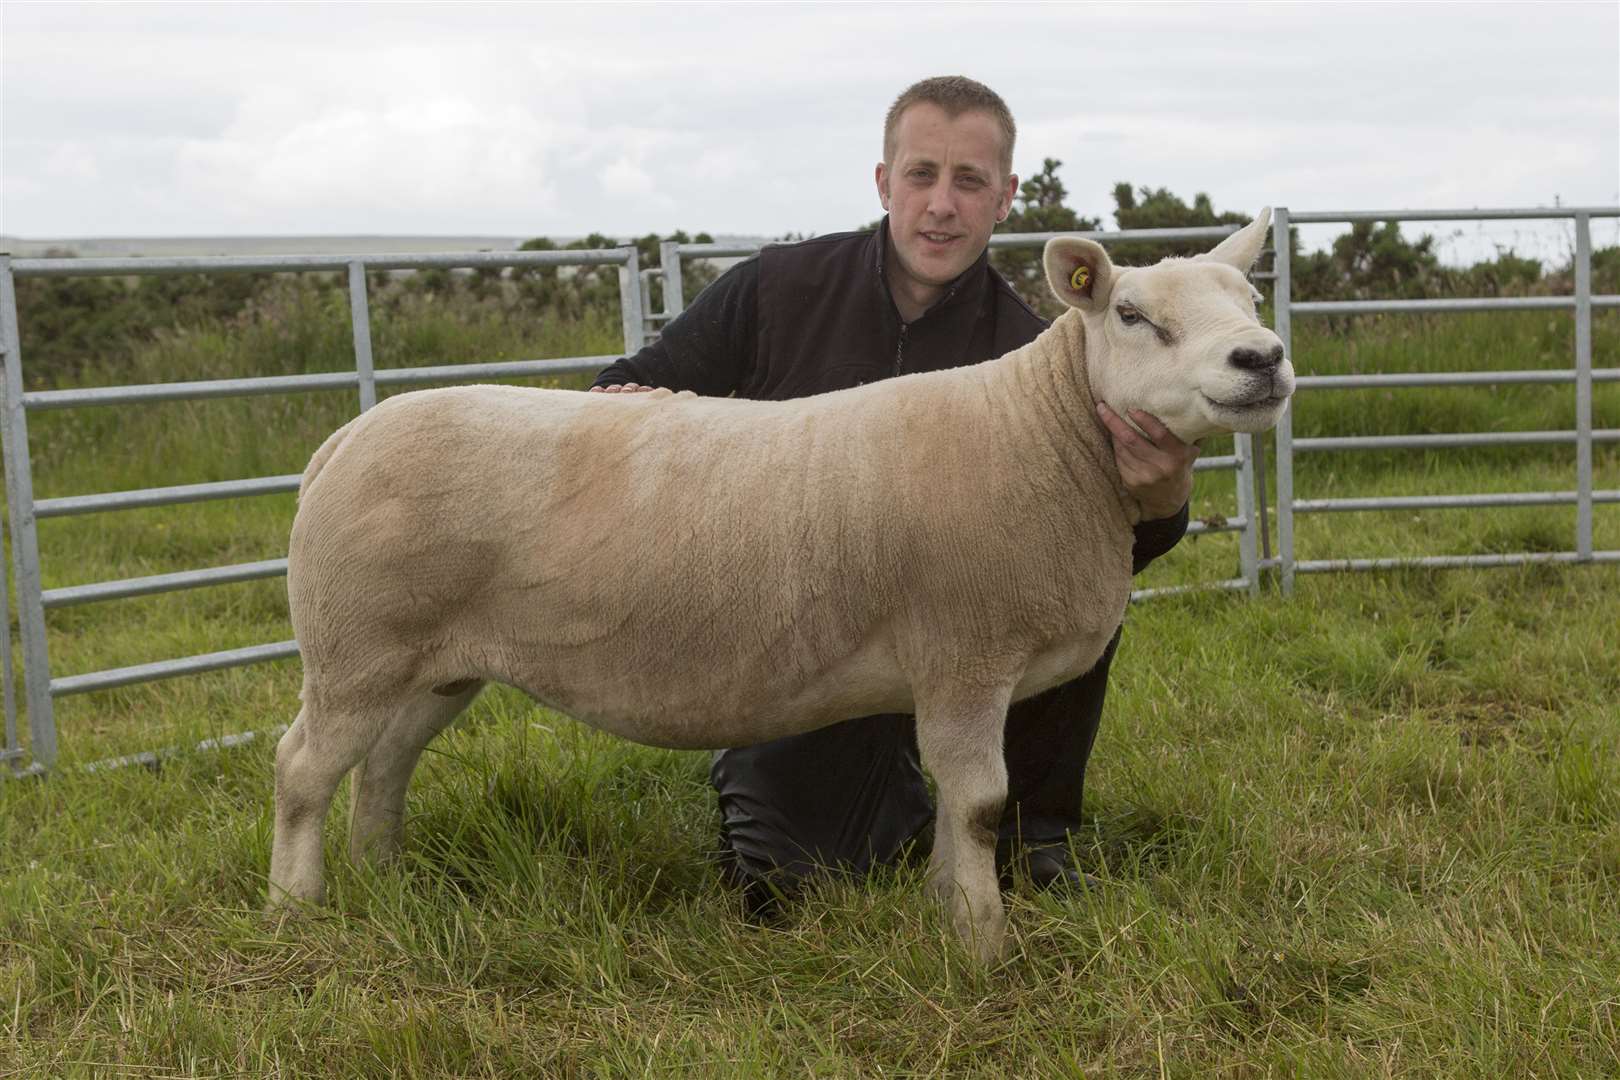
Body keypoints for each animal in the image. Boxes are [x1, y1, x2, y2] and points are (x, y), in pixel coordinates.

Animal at [272, 210, 1296, 965]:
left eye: (1251, 297)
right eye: (1131, 314)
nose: (1262, 359)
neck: (1042, 430)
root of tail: (340, 440)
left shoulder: (965, 669)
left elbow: (958, 810)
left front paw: (946, 910)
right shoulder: (964, 656)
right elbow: (977, 805)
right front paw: (982, 948)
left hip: (434, 658)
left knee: (386, 764)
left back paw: (386, 879)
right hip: (355, 647)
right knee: (302, 768)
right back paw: (297, 906)